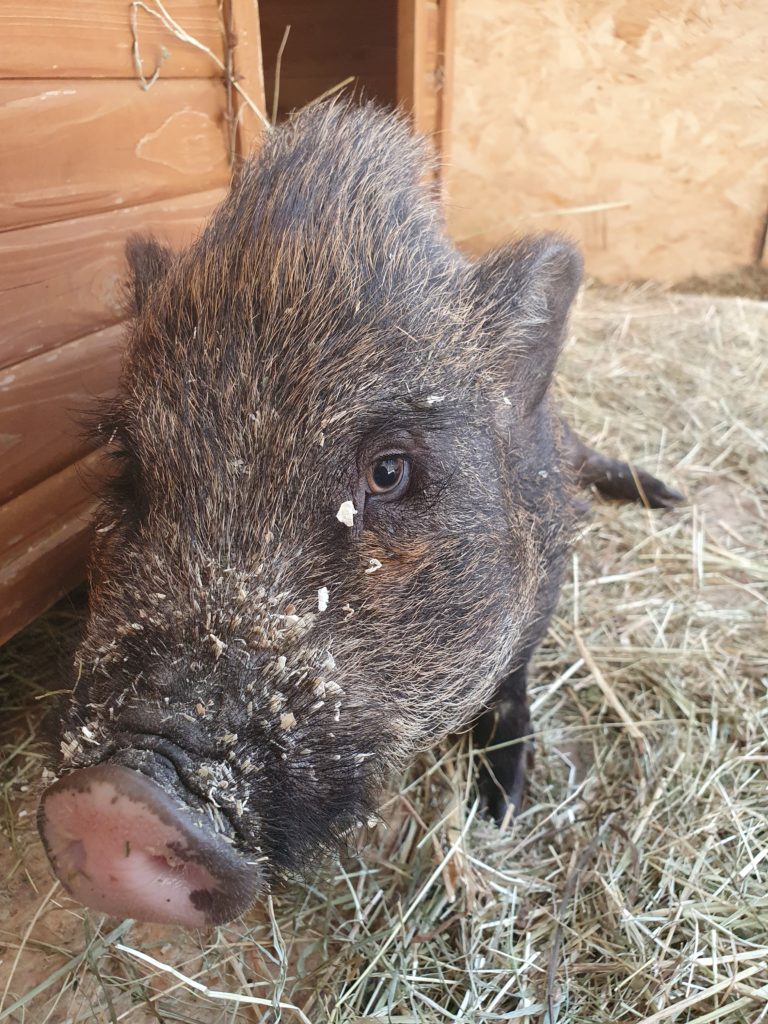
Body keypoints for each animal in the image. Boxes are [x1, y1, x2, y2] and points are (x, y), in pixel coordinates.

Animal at [39, 103, 684, 929]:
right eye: (132, 466)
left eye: (388, 472)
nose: (116, 798)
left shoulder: (543, 588)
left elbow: (511, 688)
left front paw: (500, 809)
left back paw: (668, 496)